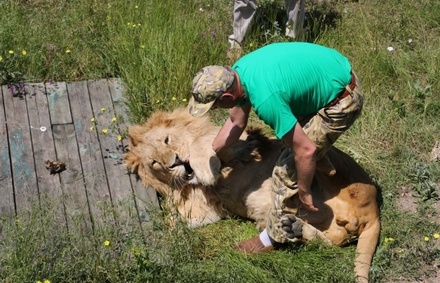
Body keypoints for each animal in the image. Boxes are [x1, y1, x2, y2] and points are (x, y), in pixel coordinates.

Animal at [124, 107, 382, 282]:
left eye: (167, 140)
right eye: (155, 163)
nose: (174, 162)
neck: (190, 186)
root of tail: (374, 212)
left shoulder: (242, 142)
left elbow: (205, 144)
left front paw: (204, 167)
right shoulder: (205, 208)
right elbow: (178, 220)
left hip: (336, 165)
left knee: (314, 160)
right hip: (329, 225)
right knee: (333, 240)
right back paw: (294, 228)